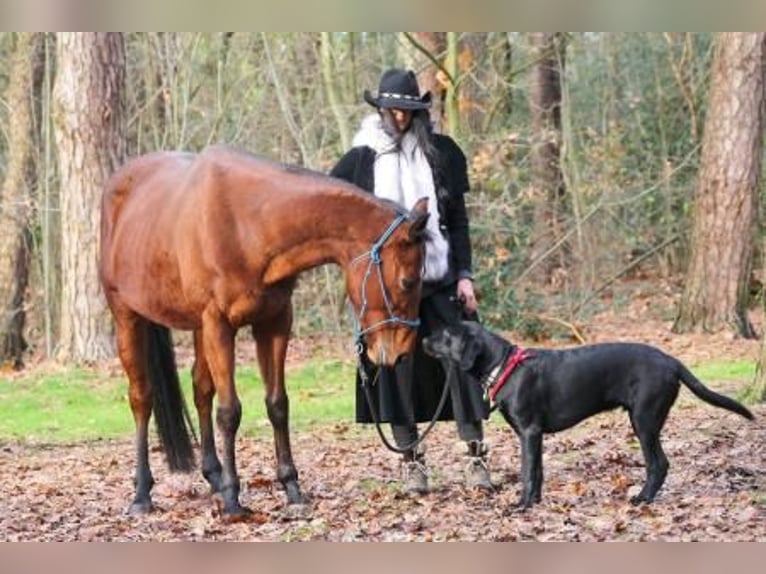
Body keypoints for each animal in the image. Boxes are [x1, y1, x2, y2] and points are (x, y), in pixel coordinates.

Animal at [99, 145, 428, 516]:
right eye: (408, 281)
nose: (400, 352)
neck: (248, 224)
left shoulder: (274, 323)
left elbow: (277, 404)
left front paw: (291, 487)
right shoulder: (219, 326)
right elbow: (229, 412)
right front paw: (233, 498)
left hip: (199, 329)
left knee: (200, 391)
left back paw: (213, 476)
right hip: (127, 317)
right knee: (142, 398)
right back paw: (142, 493)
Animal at [424, 322, 760, 510]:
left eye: (446, 333)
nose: (424, 338)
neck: (505, 365)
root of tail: (671, 361)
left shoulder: (529, 431)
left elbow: (527, 472)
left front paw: (522, 505)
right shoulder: (535, 436)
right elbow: (539, 471)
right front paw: (536, 502)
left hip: (644, 420)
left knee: (659, 464)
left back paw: (642, 499)